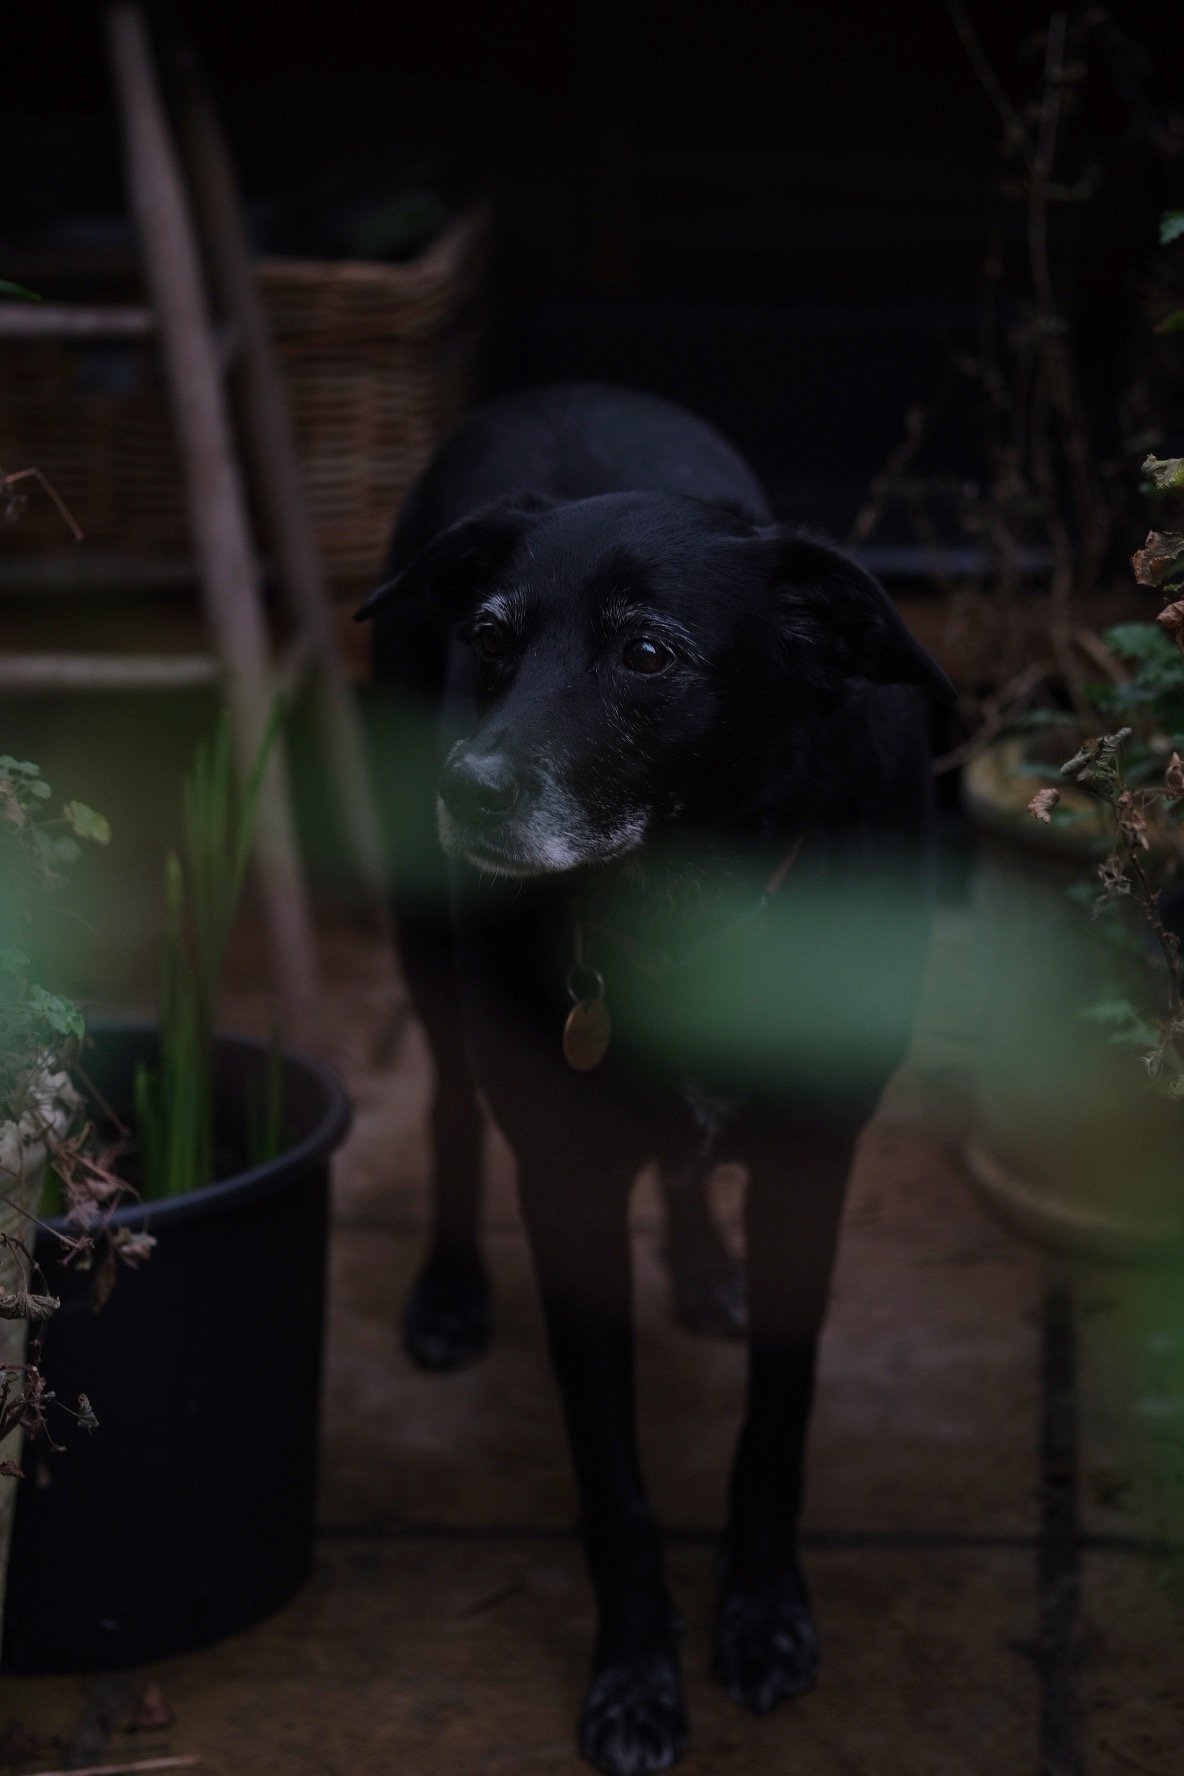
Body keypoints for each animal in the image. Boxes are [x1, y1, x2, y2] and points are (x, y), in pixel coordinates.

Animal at [362, 388, 951, 1776]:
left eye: (645, 653)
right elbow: (611, 1485)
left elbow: (774, 1430)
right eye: (489, 637)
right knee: (450, 1110)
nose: (462, 788)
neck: (680, 895)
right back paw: (451, 1291)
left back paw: (698, 1264)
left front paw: (763, 1615)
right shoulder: (566, 1187)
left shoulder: (810, 1169)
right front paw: (633, 1676)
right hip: (427, 955)